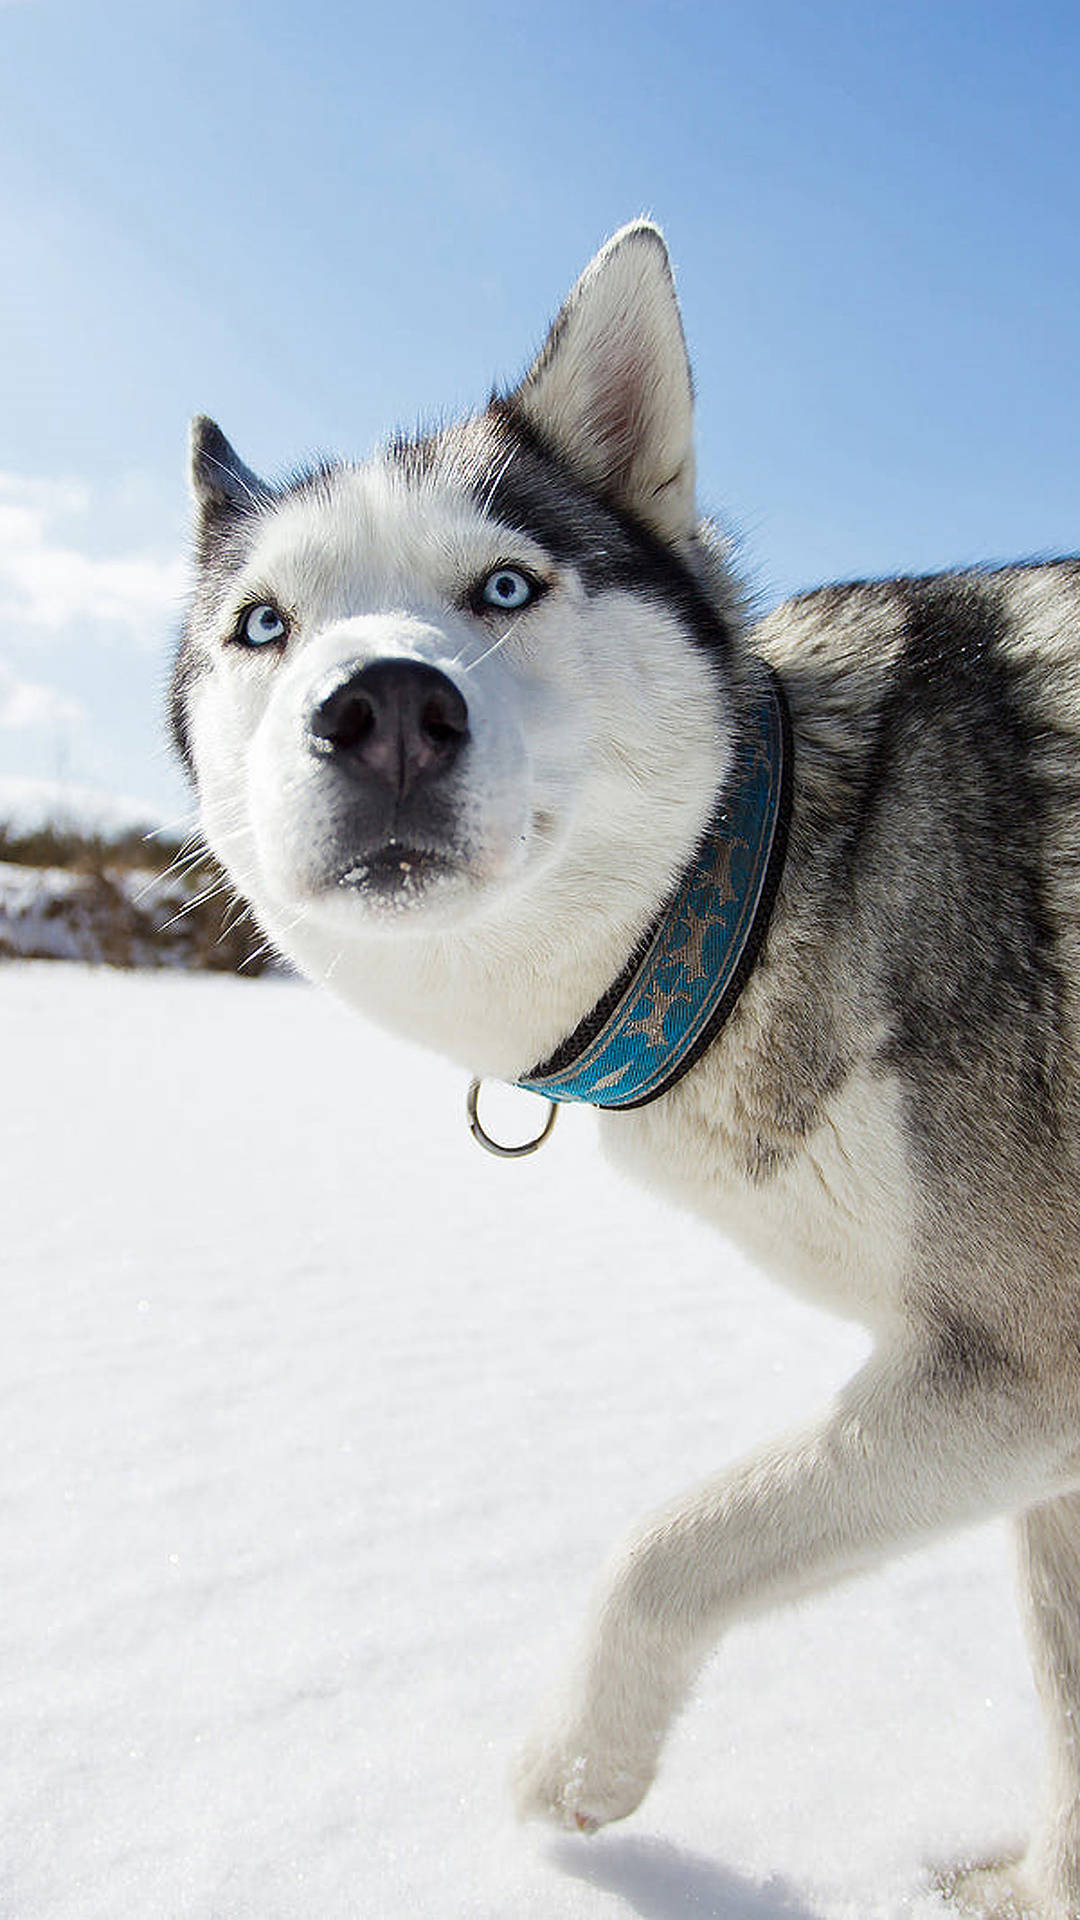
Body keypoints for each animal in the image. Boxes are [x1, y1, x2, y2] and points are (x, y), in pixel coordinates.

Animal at [171, 228, 1076, 1920]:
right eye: (263, 626)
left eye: (505, 585)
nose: (385, 708)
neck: (758, 883)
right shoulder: (1032, 1439)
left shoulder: (1020, 1369)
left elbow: (665, 1544)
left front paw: (574, 1766)